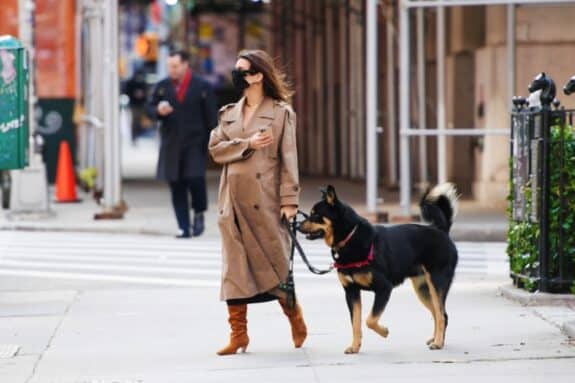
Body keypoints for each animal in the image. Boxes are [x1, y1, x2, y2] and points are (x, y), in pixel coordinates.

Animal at [296, 184, 460, 356]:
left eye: (316, 215)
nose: (297, 226)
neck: (349, 238)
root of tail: (442, 230)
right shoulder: (351, 292)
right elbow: (356, 323)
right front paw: (355, 346)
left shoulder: (384, 288)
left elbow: (370, 320)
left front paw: (384, 332)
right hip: (423, 289)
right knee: (439, 313)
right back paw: (436, 339)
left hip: (436, 283)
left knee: (441, 315)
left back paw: (438, 343)